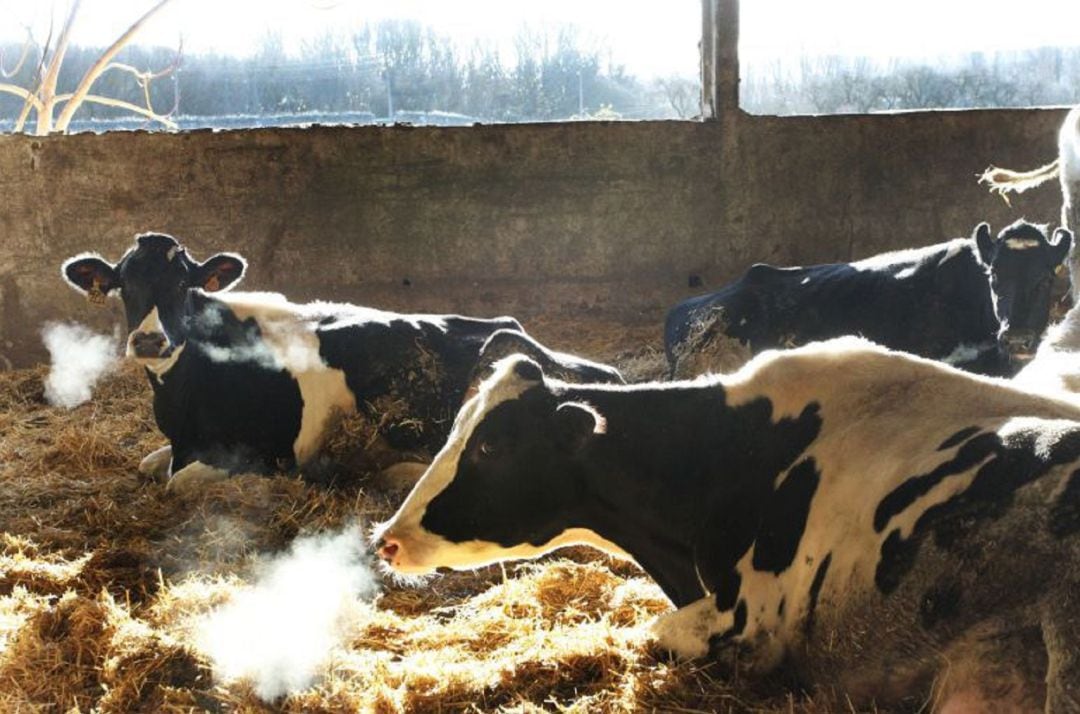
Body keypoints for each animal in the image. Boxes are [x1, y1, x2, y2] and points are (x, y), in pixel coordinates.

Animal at [65, 232, 626, 490]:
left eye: (184, 283)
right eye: (124, 284)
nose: (149, 341)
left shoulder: (267, 453)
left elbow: (176, 480)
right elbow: (150, 463)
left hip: (505, 357)